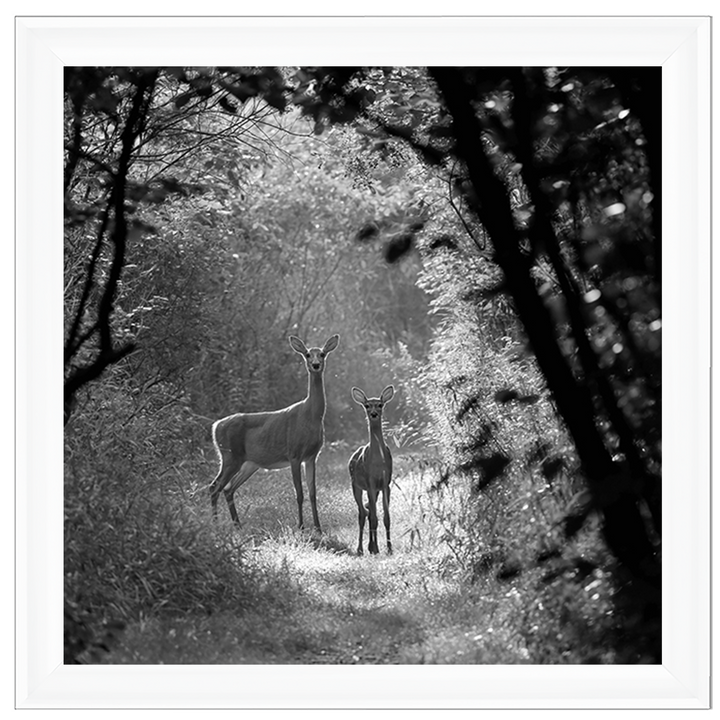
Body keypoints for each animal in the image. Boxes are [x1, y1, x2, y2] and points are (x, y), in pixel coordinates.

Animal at [209, 334, 340, 532]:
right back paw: (216, 525)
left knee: (228, 488)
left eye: (323, 354)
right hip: (230, 456)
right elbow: (299, 493)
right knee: (214, 486)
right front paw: (301, 526)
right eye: (308, 354)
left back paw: (237, 525)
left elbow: (312, 493)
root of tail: (215, 426)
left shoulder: (311, 456)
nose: (316, 365)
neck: (311, 416)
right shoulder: (294, 453)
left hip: (249, 463)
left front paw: (318, 528)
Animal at [348, 385, 395, 555]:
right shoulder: (370, 483)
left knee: (368, 512)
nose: (373, 414)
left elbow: (386, 518)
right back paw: (361, 549)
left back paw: (370, 546)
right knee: (363, 513)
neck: (378, 461)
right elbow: (374, 517)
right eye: (367, 405)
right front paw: (376, 548)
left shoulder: (385, 483)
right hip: (355, 485)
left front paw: (389, 548)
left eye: (380, 404)